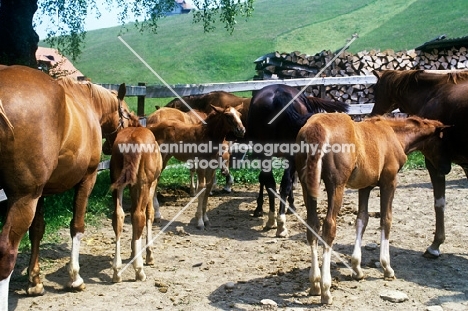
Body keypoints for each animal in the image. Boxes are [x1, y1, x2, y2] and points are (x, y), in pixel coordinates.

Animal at [0, 64, 135, 308]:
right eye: (127, 115)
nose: (114, 147)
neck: (87, 104)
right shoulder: (87, 179)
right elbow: (77, 226)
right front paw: (75, 277)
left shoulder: (41, 192)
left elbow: (37, 230)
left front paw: (35, 281)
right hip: (22, 197)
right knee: (6, 253)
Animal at [109, 126, 163, 282]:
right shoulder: (152, 184)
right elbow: (149, 213)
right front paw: (149, 255)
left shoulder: (132, 187)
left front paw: (134, 251)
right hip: (144, 184)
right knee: (139, 216)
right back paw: (139, 270)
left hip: (117, 183)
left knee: (118, 216)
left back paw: (117, 271)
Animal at [296, 114, 446, 304]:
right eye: (444, 142)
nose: (445, 169)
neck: (394, 134)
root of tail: (317, 128)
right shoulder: (390, 181)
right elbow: (386, 219)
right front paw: (387, 267)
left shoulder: (365, 186)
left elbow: (362, 220)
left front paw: (357, 269)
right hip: (336, 185)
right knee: (329, 227)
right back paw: (325, 289)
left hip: (306, 185)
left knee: (312, 226)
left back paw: (315, 284)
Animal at [370, 70, 464, 258]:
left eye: (375, 90)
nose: (373, 114)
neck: (431, 93)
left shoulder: (434, 163)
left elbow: (439, 203)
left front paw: (435, 246)